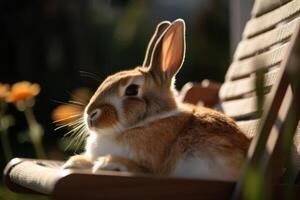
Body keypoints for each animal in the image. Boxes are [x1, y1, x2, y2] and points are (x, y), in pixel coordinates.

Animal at [63, 19, 251, 181]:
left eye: (132, 90)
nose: (90, 115)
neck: (150, 120)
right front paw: (75, 163)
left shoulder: (155, 165)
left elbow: (143, 169)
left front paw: (107, 163)